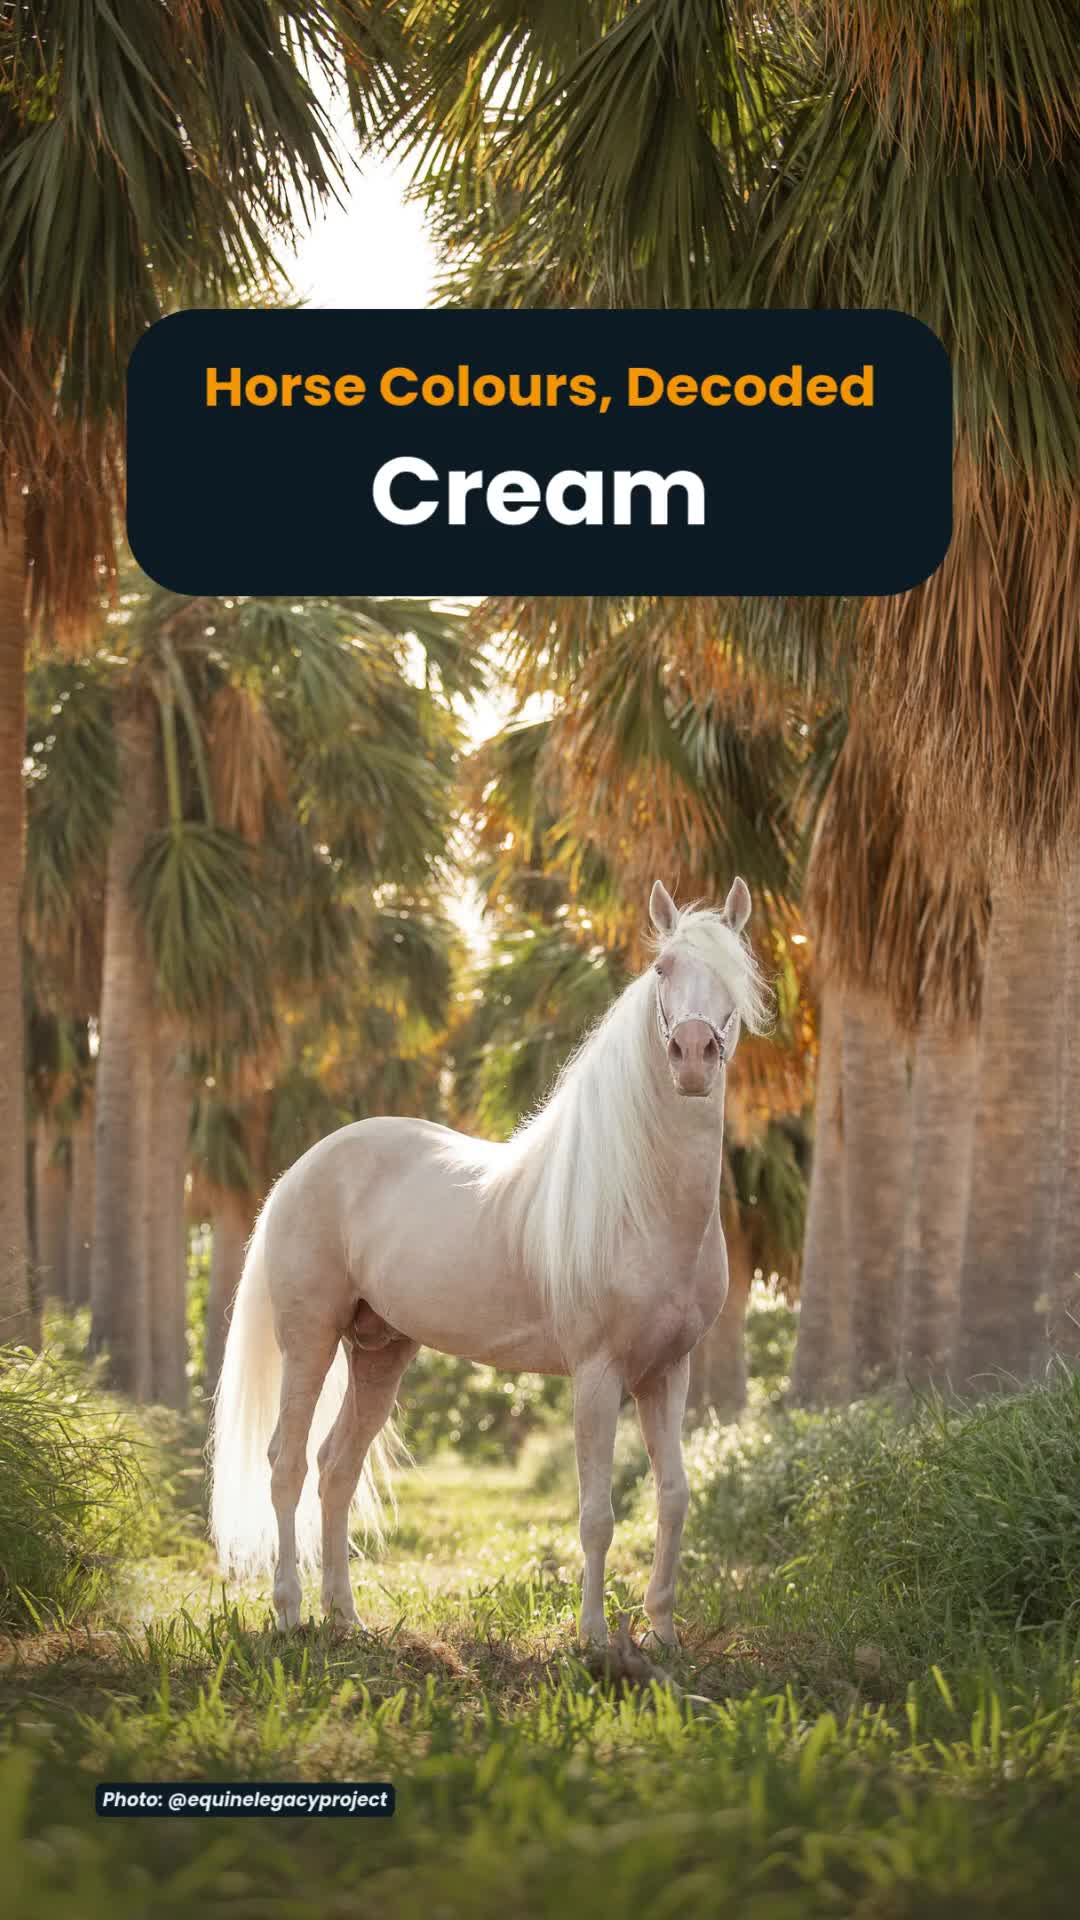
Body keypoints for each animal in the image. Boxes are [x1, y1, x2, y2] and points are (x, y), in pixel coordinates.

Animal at [209, 877, 772, 1645]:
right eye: (663, 970)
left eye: (736, 972)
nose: (691, 1054)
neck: (642, 1200)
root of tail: (299, 1170)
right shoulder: (597, 1375)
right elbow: (597, 1515)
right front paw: (595, 1641)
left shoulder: (667, 1373)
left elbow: (674, 1496)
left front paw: (661, 1635)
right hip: (309, 1341)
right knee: (286, 1465)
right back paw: (291, 1613)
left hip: (380, 1351)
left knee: (336, 1469)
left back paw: (345, 1619)